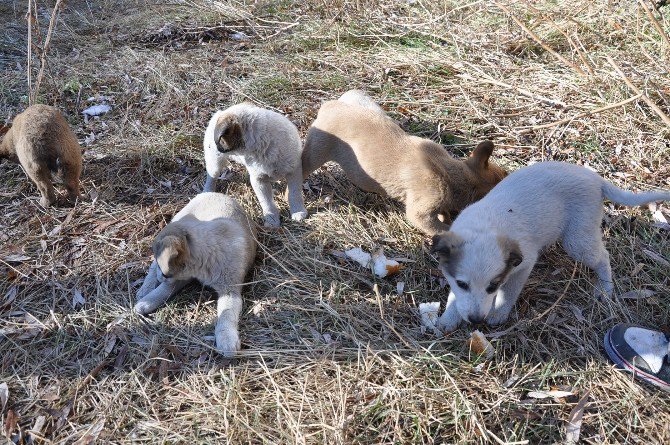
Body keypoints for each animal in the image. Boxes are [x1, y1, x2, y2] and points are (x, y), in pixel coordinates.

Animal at [135, 193, 258, 356]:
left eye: (164, 272)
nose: (160, 278)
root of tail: (216, 193)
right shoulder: (180, 278)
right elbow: (163, 290)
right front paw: (146, 302)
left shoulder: (230, 289)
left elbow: (226, 313)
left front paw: (226, 339)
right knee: (151, 266)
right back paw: (145, 289)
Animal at [430, 161, 670, 332]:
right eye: (462, 284)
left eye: (493, 286)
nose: (476, 320)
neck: (484, 226)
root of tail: (595, 179)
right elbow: (456, 298)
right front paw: (449, 318)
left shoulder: (524, 264)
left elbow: (509, 292)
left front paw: (498, 313)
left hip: (577, 241)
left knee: (604, 257)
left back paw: (604, 289)